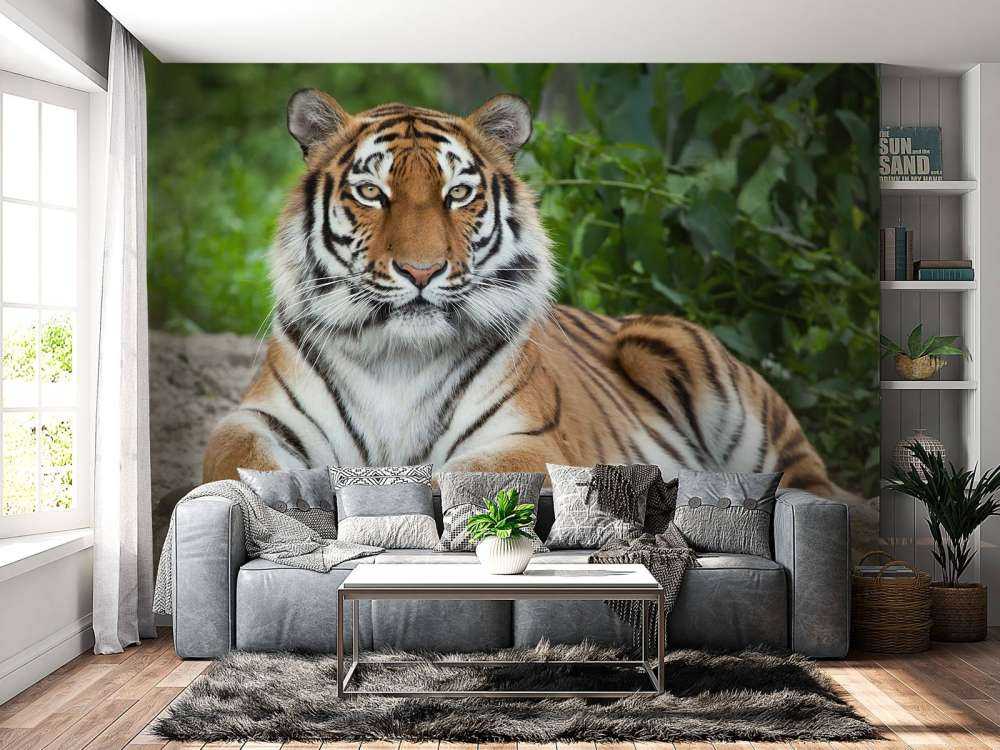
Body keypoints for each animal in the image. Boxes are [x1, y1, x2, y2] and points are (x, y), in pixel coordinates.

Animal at [202, 89, 833, 497]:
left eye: (458, 193)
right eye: (371, 192)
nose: (421, 271)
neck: (398, 356)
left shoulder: (528, 440)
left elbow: (462, 478)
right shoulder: (258, 419)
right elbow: (239, 464)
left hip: (685, 357)